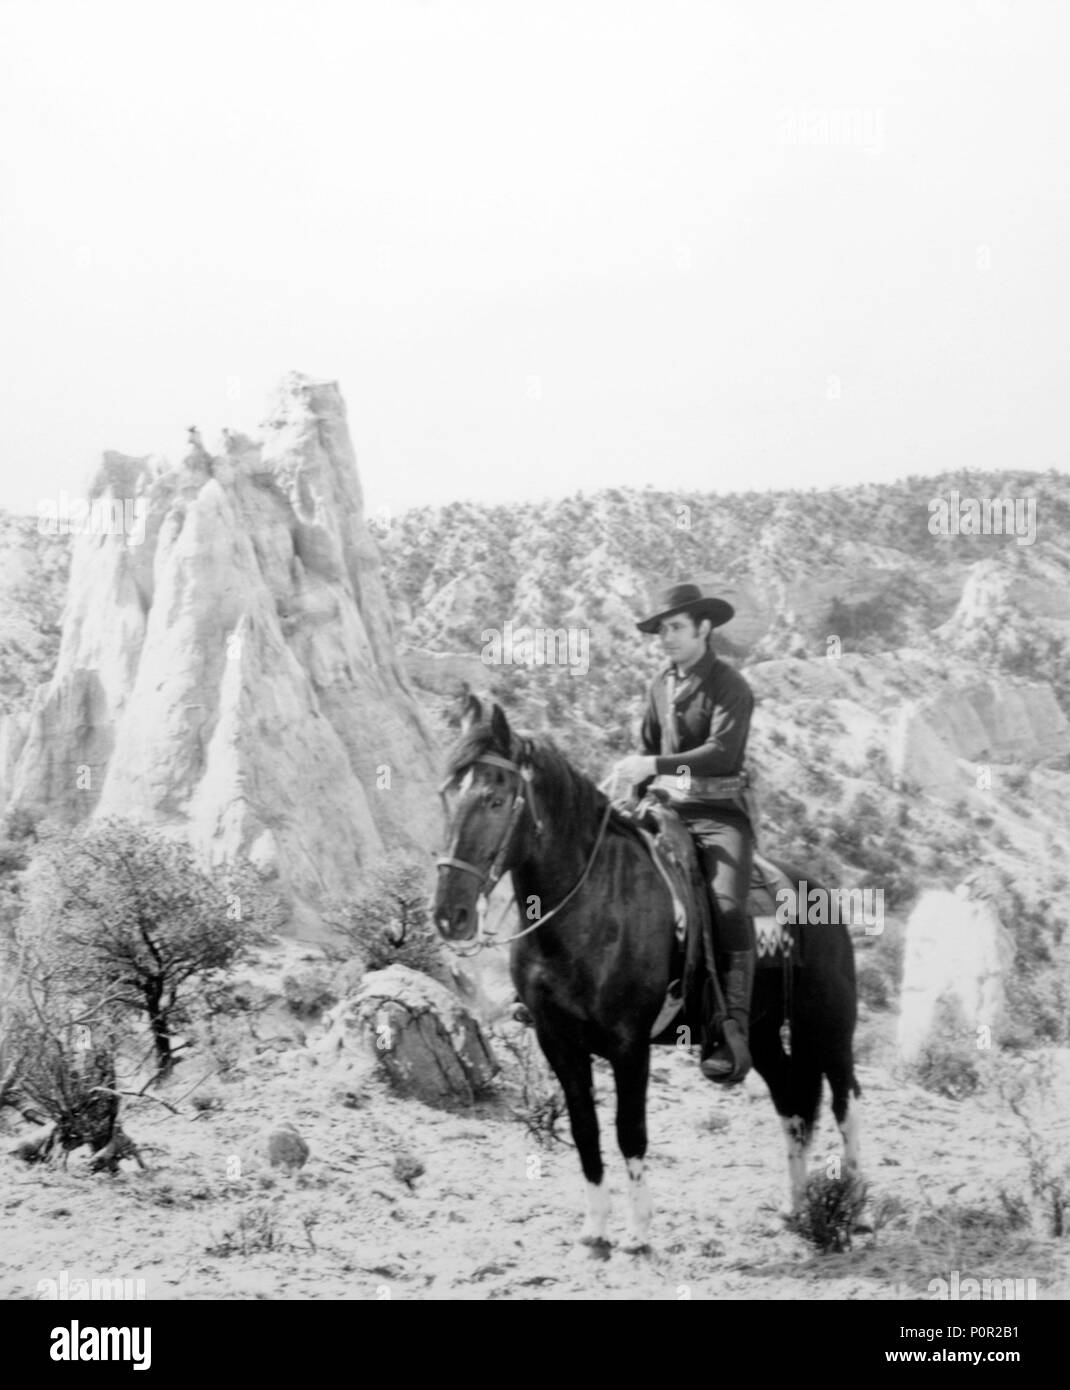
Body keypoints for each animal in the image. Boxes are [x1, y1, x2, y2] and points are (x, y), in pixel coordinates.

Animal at [428, 695, 856, 1251]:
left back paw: (857, 1202)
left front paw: (638, 1231)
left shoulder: (629, 1045)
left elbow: (629, 1130)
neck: (588, 907)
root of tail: (823, 894)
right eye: (447, 796)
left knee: (845, 1098)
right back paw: (797, 1205)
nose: (449, 914)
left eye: (495, 799)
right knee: (793, 1102)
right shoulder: (557, 1041)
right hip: (761, 1033)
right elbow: (585, 1128)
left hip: (827, 1025)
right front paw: (595, 1228)